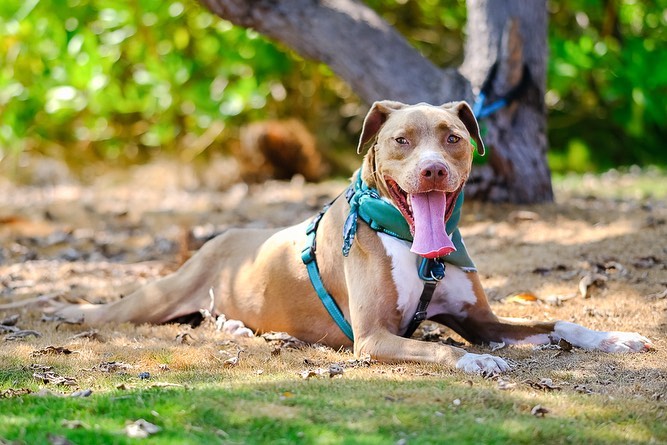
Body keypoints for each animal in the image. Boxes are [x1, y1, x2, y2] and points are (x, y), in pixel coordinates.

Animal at [49, 101, 656, 374]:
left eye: (453, 138)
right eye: (402, 140)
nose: (433, 170)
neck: (413, 246)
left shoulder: (482, 323)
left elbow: (555, 322)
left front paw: (613, 338)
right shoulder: (373, 339)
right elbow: (435, 347)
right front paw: (474, 364)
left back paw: (237, 328)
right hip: (160, 295)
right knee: (114, 308)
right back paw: (62, 307)